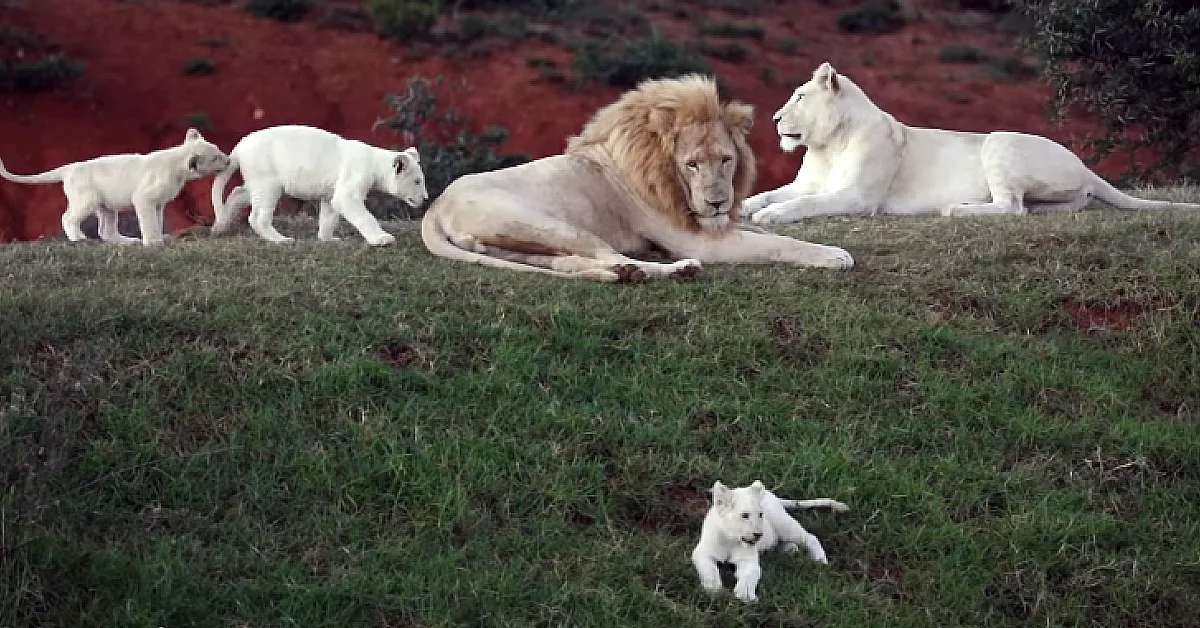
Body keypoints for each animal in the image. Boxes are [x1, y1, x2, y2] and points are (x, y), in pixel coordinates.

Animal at [422, 74, 854, 282]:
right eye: (692, 164)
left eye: (726, 160)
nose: (718, 202)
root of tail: (436, 206)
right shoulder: (696, 238)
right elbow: (777, 244)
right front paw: (834, 254)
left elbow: (767, 233)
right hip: (550, 224)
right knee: (608, 254)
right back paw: (674, 270)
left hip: (522, 243)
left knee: (569, 263)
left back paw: (627, 275)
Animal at [739, 63, 1200, 225]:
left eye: (800, 97)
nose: (775, 119)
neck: (828, 144)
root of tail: (1084, 166)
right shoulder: (806, 182)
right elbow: (770, 193)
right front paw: (744, 208)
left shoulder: (858, 196)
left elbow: (803, 204)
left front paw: (772, 216)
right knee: (1039, 206)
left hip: (998, 141)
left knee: (1010, 208)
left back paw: (955, 209)